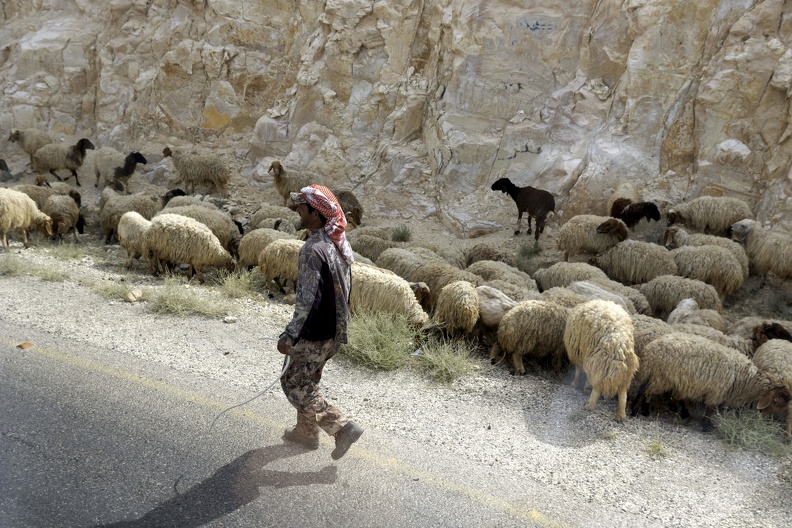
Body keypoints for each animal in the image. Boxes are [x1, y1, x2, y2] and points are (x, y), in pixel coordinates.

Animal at [628, 332, 788, 432]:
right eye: (776, 402)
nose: (773, 422)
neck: (745, 379)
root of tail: (650, 350)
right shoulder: (717, 392)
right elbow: (709, 410)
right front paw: (707, 427)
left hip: (661, 377)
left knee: (649, 391)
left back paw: (646, 410)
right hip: (661, 377)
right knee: (644, 391)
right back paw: (635, 410)